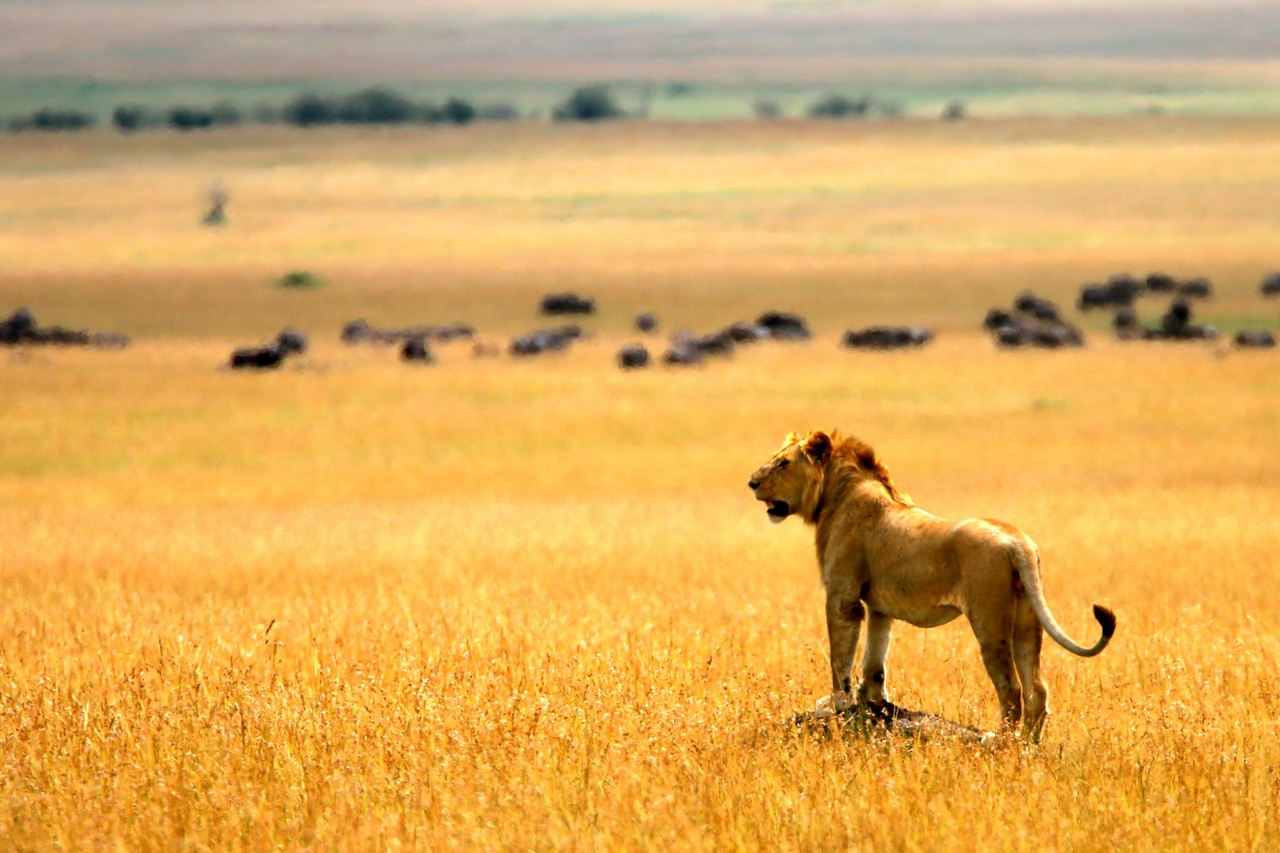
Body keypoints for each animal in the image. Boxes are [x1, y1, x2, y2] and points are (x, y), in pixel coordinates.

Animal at [747, 425, 1116, 737]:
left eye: (783, 463)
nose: (752, 483)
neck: (835, 496)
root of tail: (1018, 542)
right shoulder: (879, 607)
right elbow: (875, 661)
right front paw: (872, 702)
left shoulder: (843, 597)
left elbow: (841, 659)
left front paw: (836, 703)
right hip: (1027, 617)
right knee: (1037, 688)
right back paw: (1027, 746)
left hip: (989, 618)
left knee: (1011, 690)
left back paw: (1001, 741)